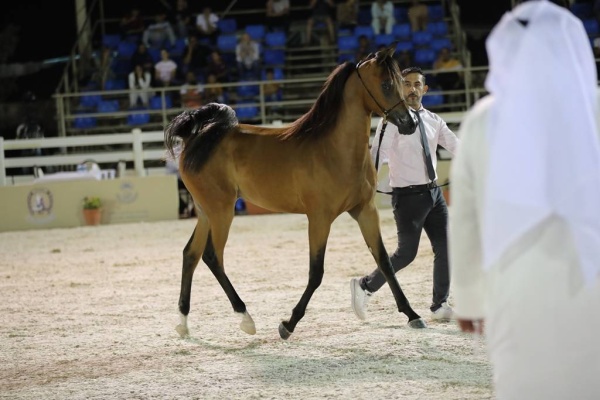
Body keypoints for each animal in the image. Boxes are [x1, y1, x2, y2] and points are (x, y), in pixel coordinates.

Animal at [164, 43, 426, 340]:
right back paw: (245, 318)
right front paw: (288, 324)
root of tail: (197, 137)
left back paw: (183, 323)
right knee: (212, 257)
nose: (409, 124)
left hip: (206, 212)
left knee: (190, 254)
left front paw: (412, 314)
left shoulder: (365, 211)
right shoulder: (320, 218)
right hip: (222, 212)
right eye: (385, 84)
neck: (333, 151)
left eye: (401, 83)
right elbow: (316, 272)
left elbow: (385, 261)